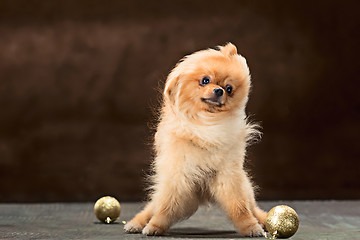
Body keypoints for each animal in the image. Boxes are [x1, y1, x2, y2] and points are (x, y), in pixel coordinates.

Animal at [124, 42, 268, 236]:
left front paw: (251, 227)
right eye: (205, 80)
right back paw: (136, 223)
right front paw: (155, 226)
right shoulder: (177, 176)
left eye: (229, 89)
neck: (205, 124)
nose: (219, 90)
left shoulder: (228, 176)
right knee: (152, 207)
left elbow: (239, 207)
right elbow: (165, 207)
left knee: (253, 207)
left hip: (245, 188)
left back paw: (264, 220)